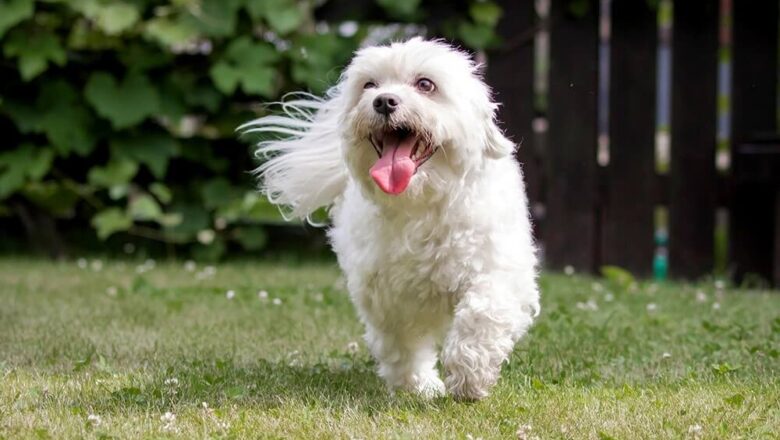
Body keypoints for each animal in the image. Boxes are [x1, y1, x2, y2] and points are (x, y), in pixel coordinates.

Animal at [241, 38, 540, 402]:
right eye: (369, 85)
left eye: (426, 84)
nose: (383, 100)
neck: (421, 204)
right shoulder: (387, 298)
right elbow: (401, 344)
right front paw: (418, 385)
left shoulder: (499, 271)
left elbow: (482, 314)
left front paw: (470, 377)